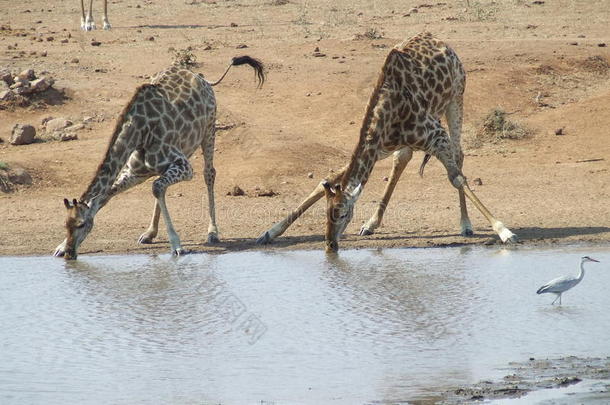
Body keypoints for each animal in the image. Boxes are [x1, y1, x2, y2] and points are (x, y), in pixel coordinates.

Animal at [55, 55, 264, 258]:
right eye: (65, 224)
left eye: (81, 224)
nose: (70, 254)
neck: (139, 131)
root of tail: (201, 78)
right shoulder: (134, 172)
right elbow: (109, 195)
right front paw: (61, 246)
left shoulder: (185, 166)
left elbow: (155, 187)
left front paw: (177, 245)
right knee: (161, 185)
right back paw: (149, 233)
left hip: (209, 129)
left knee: (208, 173)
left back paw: (212, 232)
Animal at [255, 33, 512, 251]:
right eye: (326, 213)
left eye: (344, 213)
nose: (330, 245)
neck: (388, 109)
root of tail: (442, 42)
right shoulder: (378, 147)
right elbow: (329, 178)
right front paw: (270, 232)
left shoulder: (436, 135)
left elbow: (457, 178)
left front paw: (504, 231)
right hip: (405, 140)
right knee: (402, 160)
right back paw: (370, 224)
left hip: (456, 99)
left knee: (459, 155)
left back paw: (466, 225)